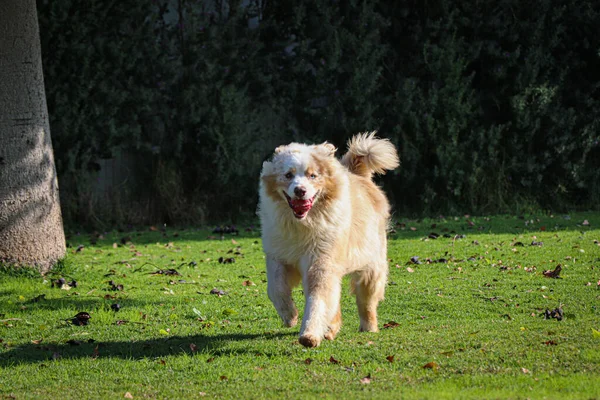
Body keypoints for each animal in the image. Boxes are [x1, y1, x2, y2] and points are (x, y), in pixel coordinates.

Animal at [256, 132, 398, 346]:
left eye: (312, 175)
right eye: (288, 175)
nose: (300, 190)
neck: (303, 224)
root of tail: (358, 174)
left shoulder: (322, 261)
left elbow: (318, 300)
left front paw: (309, 335)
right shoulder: (278, 255)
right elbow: (275, 288)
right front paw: (290, 316)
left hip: (371, 268)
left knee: (366, 302)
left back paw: (369, 328)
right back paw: (331, 328)